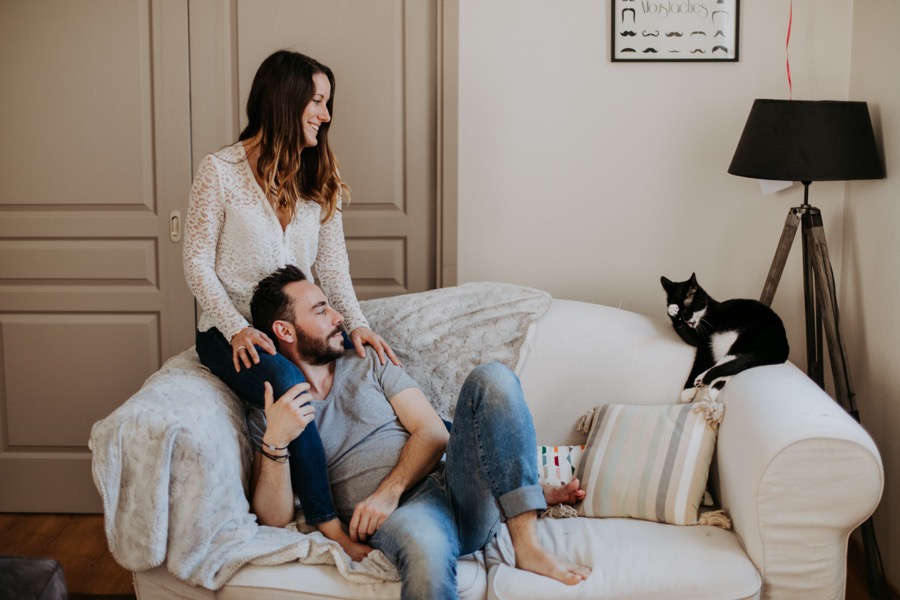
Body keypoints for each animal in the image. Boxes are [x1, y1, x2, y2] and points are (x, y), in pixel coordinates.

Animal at [660, 273, 790, 403]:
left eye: (686, 309)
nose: (685, 319)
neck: (705, 312)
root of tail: (784, 340)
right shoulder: (695, 338)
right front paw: (672, 312)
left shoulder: (706, 340)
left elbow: (700, 361)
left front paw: (687, 391)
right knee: (734, 367)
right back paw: (709, 393)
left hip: (745, 341)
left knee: (728, 363)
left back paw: (702, 379)